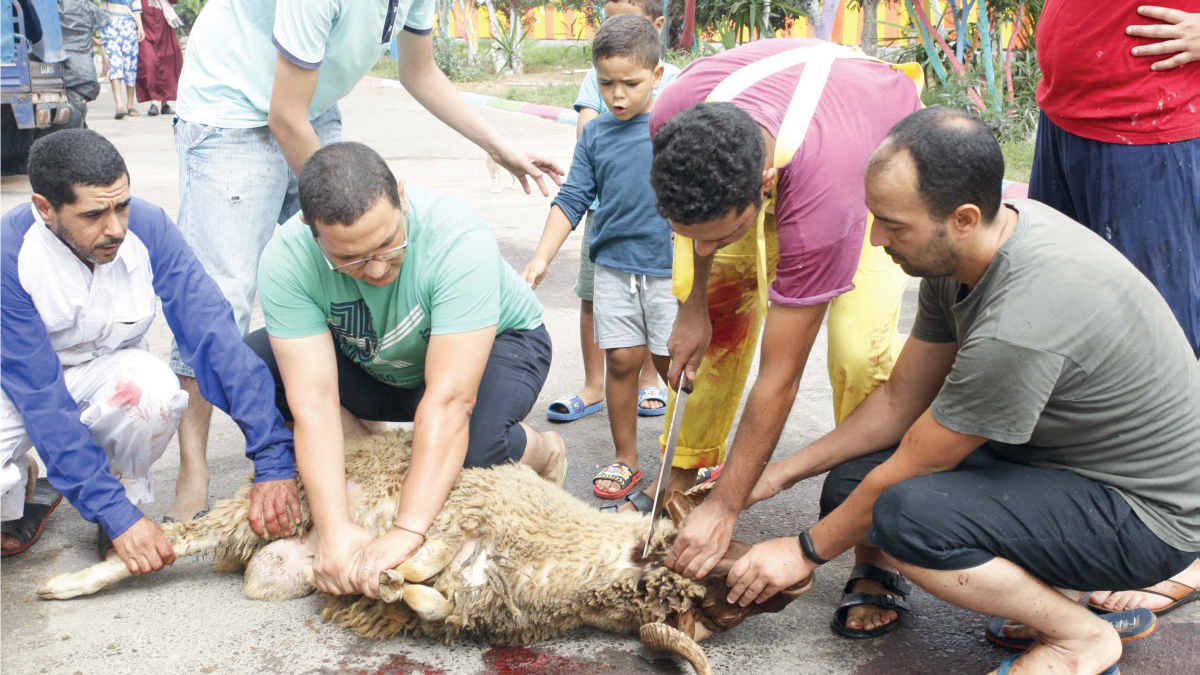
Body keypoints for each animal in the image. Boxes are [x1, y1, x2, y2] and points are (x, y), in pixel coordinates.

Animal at [37, 427, 811, 667]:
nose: (785, 593)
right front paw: (396, 570)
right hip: (261, 512)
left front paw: (396, 585)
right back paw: (68, 582)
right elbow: (424, 552)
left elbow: (429, 601)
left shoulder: (472, 607)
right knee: (178, 537)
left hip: (275, 572)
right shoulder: (465, 507)